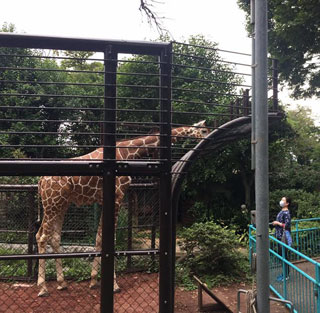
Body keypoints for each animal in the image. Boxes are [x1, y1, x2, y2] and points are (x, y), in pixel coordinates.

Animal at [37, 119, 210, 294]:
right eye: (203, 131)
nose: (207, 141)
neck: (128, 153)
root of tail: (41, 180)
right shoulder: (117, 197)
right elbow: (110, 239)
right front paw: (114, 285)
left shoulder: (105, 200)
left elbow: (99, 237)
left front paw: (93, 280)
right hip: (52, 203)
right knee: (42, 237)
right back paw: (43, 287)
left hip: (60, 204)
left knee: (54, 237)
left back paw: (61, 283)